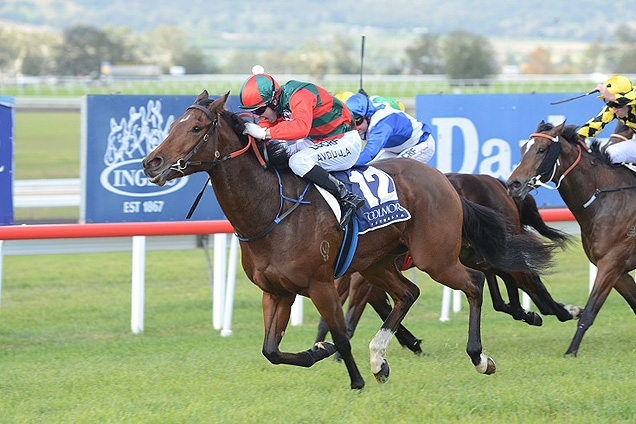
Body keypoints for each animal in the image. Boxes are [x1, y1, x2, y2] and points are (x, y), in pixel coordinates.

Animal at [314, 173, 576, 354]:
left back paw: (558, 311)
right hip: (470, 250)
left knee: (524, 276)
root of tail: (496, 181)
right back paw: (531, 311)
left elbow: (355, 312)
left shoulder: (360, 273)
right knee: (504, 276)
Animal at [510, 121, 636, 356]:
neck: (604, 199)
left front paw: (571, 352)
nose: (513, 184)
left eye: (541, 150)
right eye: (523, 149)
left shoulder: (611, 263)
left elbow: (589, 312)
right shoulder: (618, 271)